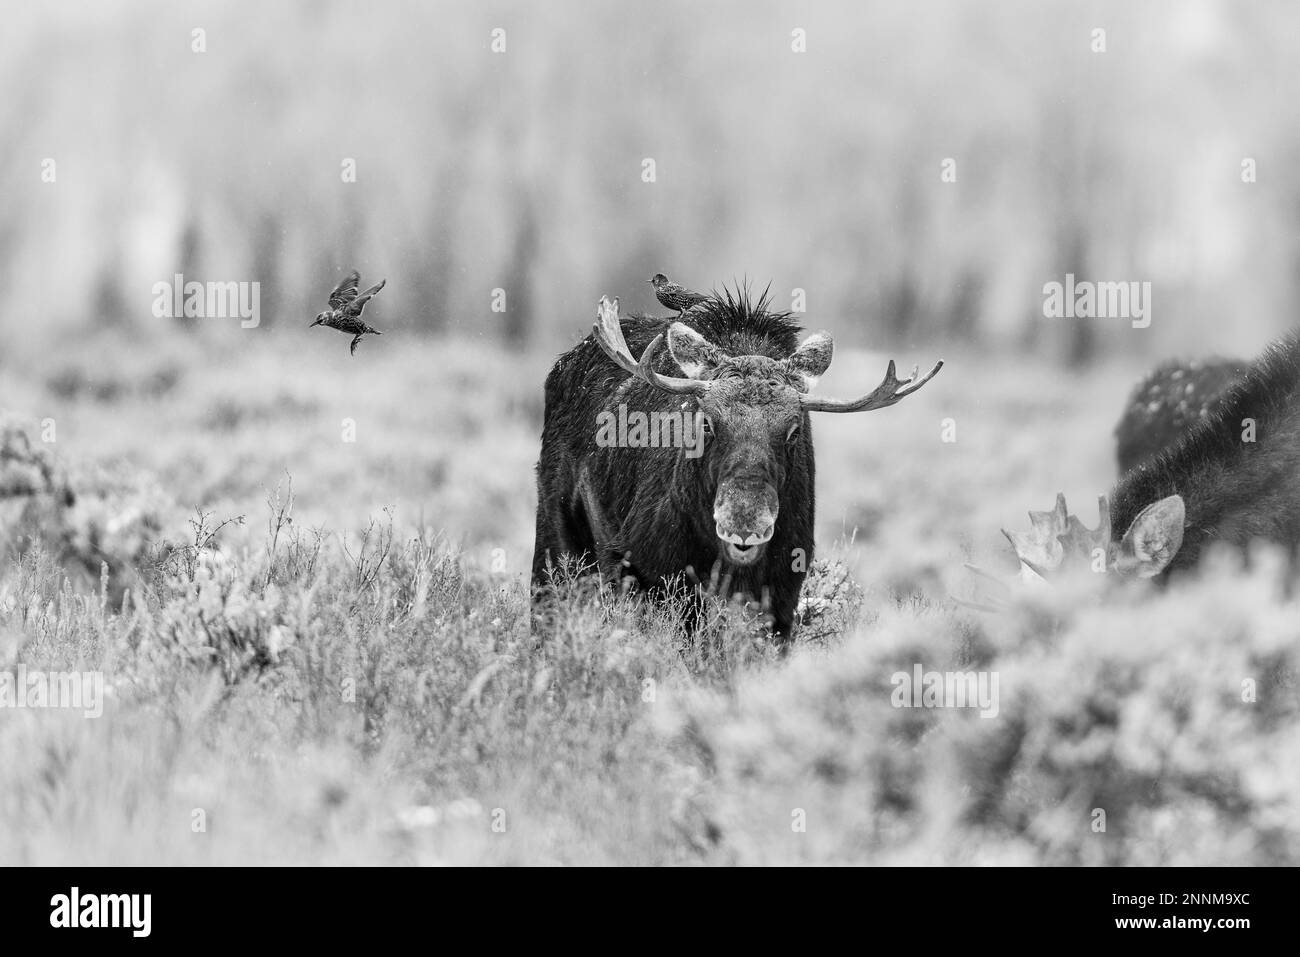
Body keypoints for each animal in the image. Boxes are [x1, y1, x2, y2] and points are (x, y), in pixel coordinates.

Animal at [532, 289, 942, 639]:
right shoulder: (650, 573)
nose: (744, 523)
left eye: (794, 431)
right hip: (556, 535)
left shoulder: (783, 592)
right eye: (707, 422)